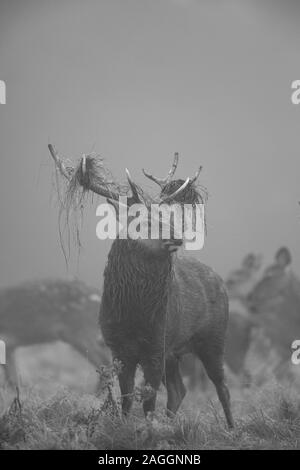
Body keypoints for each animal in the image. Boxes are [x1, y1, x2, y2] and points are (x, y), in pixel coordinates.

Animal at [48, 145, 234, 428]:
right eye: (141, 222)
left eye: (166, 217)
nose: (177, 236)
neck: (134, 314)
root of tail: (221, 282)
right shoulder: (117, 347)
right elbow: (126, 398)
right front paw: (126, 425)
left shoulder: (156, 343)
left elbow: (148, 399)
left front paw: (147, 429)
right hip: (175, 351)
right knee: (179, 390)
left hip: (213, 338)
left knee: (222, 386)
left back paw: (233, 429)